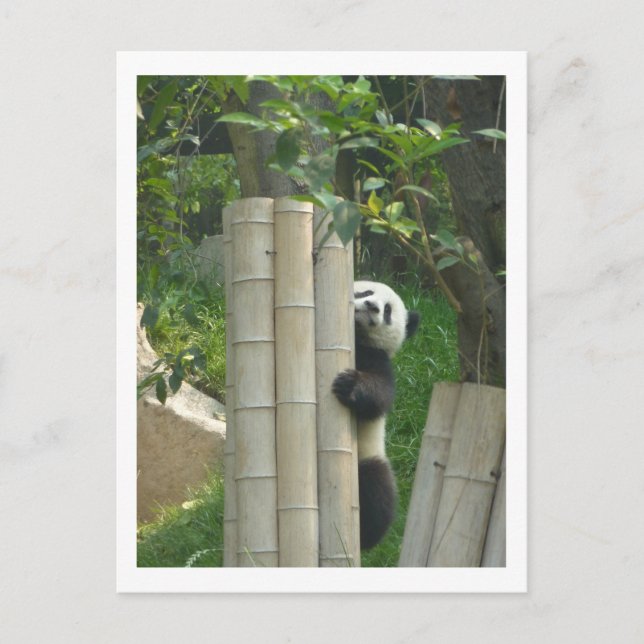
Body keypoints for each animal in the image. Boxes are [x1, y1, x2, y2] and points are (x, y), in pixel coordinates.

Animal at [332, 280, 420, 550]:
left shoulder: (378, 358)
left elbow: (380, 393)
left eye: (388, 310)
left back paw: (365, 537)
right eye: (366, 292)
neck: (357, 336)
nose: (372, 306)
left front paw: (349, 385)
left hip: (368, 459)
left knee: (377, 490)